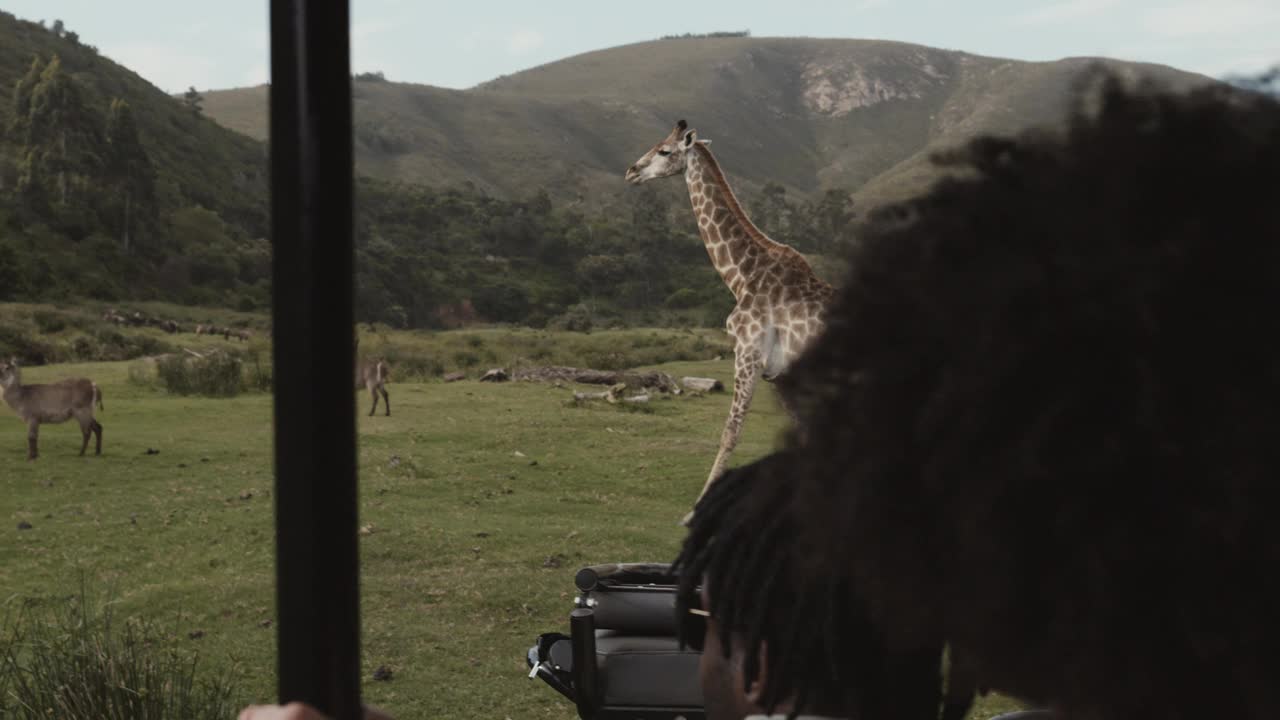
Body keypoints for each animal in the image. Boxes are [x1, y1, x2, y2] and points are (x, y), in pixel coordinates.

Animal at [624, 119, 834, 520]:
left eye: (664, 150)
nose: (631, 171)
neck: (741, 276)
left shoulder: (748, 354)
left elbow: (731, 431)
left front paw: (695, 511)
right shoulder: (779, 373)